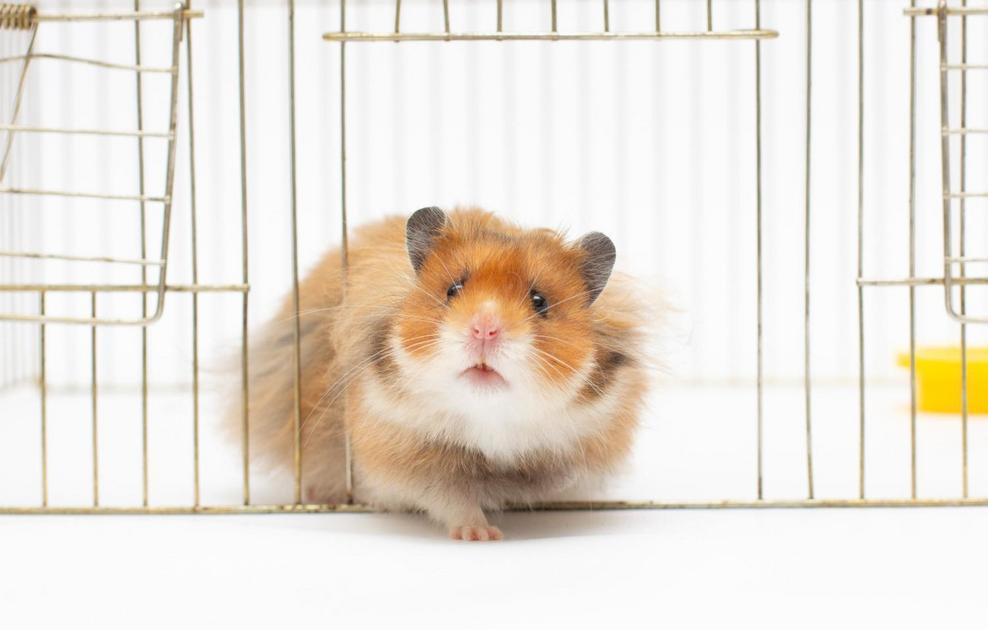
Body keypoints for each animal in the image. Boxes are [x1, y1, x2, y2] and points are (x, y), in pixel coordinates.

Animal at [236, 207, 651, 540]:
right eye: (453, 289)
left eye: (540, 301)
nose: (484, 329)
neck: (489, 419)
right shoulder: (407, 455)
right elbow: (452, 499)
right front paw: (481, 535)